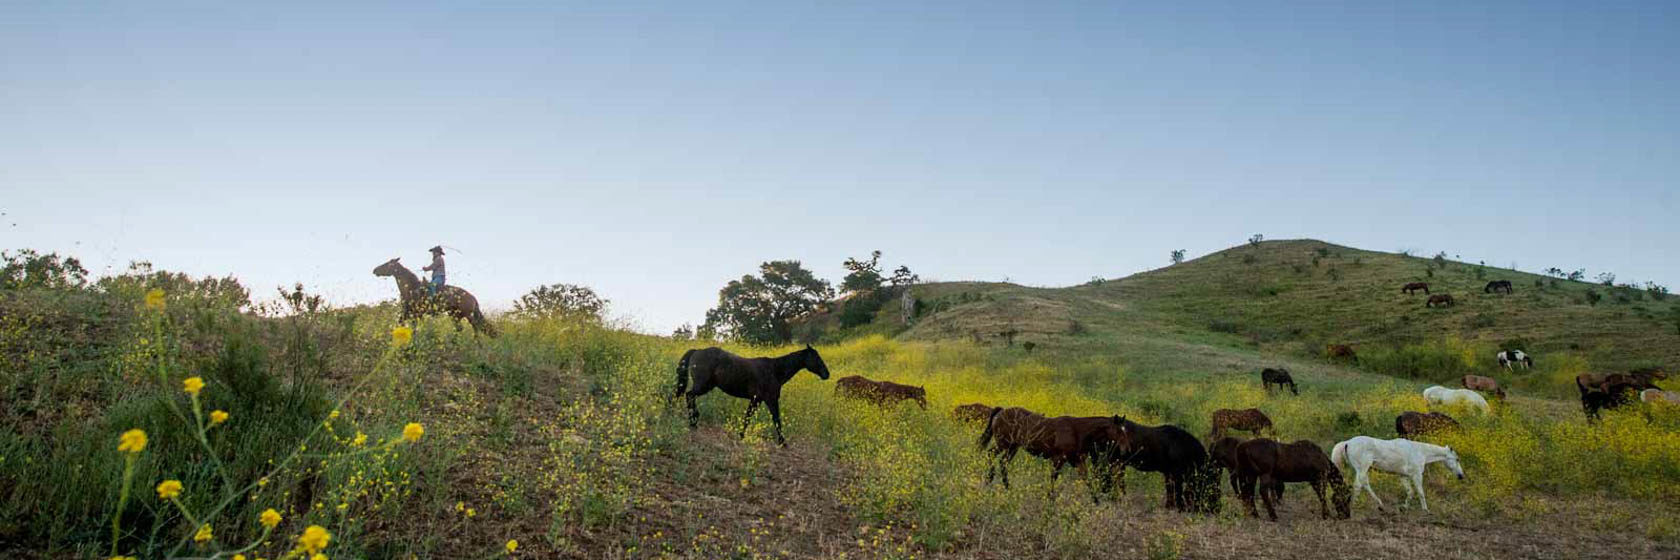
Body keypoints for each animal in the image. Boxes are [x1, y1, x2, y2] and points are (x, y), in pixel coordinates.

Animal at [668, 344, 826, 443]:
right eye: (817, 358)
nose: (827, 374)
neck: (774, 370)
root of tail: (697, 351)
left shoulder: (756, 400)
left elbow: (748, 417)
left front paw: (741, 434)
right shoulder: (769, 399)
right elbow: (776, 419)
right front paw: (782, 441)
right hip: (702, 386)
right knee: (689, 395)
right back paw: (693, 422)